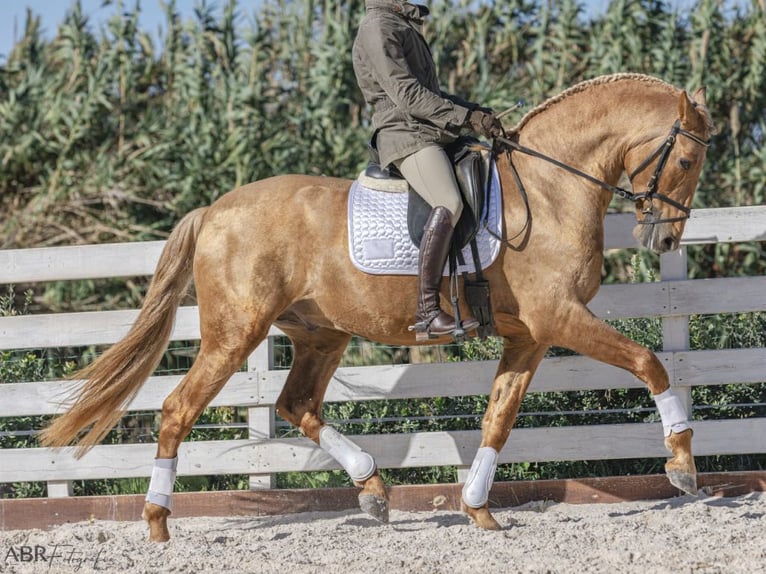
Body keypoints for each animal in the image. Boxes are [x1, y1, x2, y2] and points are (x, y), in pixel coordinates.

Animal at [40, 73, 712, 544]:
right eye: (685, 159)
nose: (665, 241)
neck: (549, 191)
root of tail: (214, 211)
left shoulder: (530, 336)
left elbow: (498, 418)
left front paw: (479, 511)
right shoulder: (560, 319)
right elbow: (651, 363)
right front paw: (682, 465)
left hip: (320, 334)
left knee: (296, 405)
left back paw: (372, 489)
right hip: (235, 334)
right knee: (179, 409)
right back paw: (157, 522)